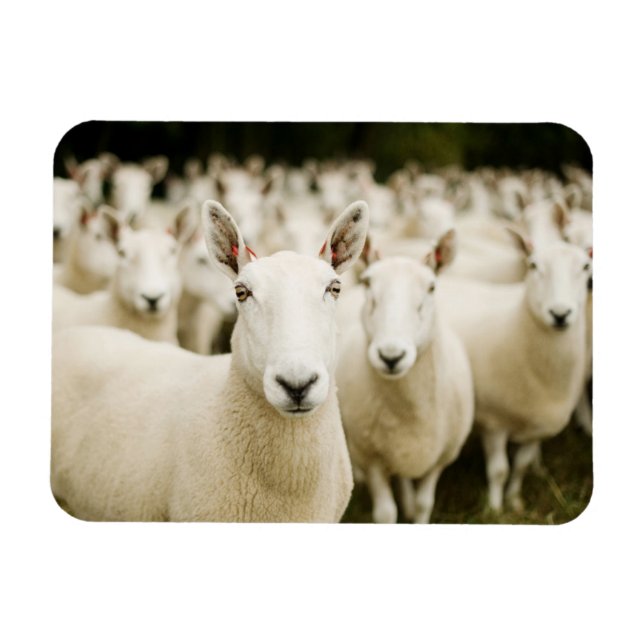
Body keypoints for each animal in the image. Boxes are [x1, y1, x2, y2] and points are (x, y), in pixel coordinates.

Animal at [335, 231, 474, 523]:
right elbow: (386, 513)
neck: (410, 409)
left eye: (432, 287)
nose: (391, 356)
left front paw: (415, 509)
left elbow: (423, 504)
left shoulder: (441, 457)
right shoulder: (371, 458)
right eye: (368, 283)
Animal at [437, 237, 591, 512]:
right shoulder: (493, 422)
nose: (560, 314)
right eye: (533, 265)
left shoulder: (538, 425)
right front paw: (495, 509)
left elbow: (521, 465)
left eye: (585, 266)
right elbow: (499, 470)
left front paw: (515, 500)